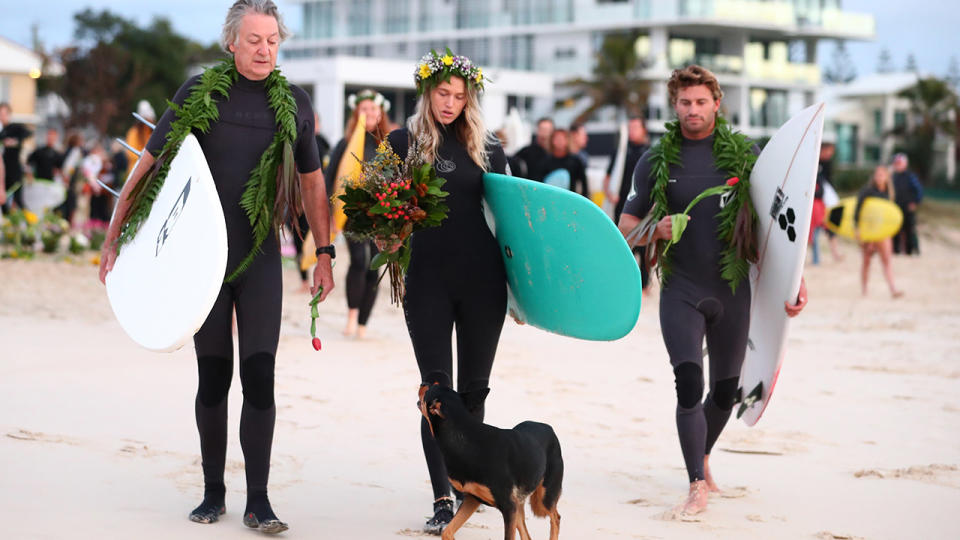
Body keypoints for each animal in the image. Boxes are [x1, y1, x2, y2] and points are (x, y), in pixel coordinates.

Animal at [418, 384, 564, 540]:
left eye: (428, 391)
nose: (423, 385)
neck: (464, 439)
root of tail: (549, 428)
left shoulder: (508, 507)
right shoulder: (473, 498)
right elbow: (447, 531)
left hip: (543, 498)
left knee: (555, 517)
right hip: (518, 503)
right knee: (527, 534)